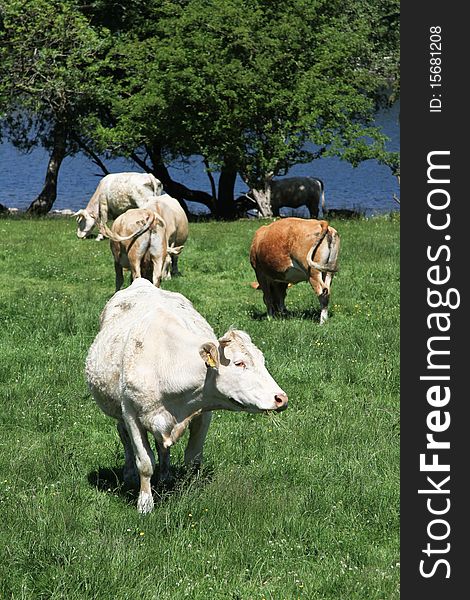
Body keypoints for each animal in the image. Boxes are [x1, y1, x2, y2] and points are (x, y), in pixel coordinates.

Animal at [86, 278, 288, 512]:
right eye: (239, 363)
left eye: (262, 361)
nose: (281, 398)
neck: (166, 364)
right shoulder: (131, 415)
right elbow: (145, 462)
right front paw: (145, 503)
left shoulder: (203, 413)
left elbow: (193, 458)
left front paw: (192, 491)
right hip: (118, 410)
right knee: (124, 435)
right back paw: (129, 475)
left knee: (162, 447)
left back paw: (165, 476)